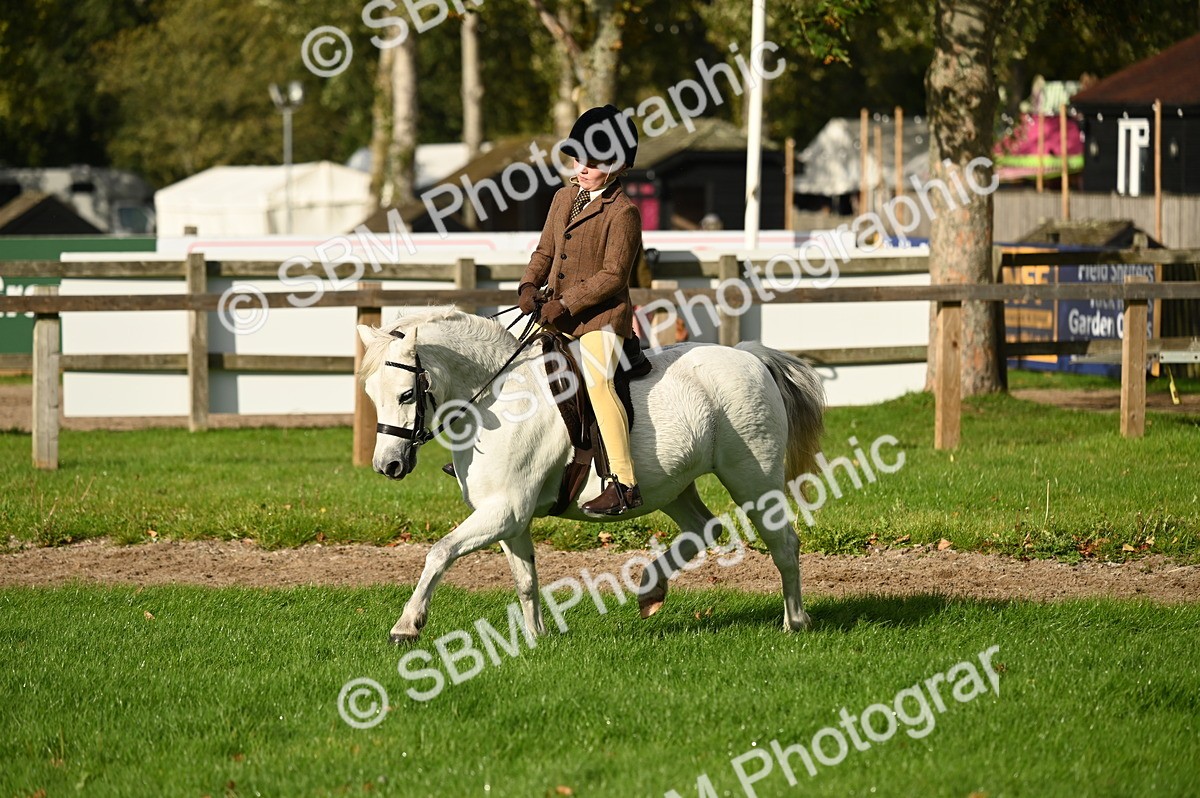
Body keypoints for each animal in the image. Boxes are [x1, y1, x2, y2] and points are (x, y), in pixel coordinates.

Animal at [357, 307, 825, 643]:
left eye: (406, 394)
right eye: (370, 394)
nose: (387, 466)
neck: (499, 397)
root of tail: (749, 356)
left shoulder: (504, 512)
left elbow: (440, 552)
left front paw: (407, 625)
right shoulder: (508, 518)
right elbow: (525, 578)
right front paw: (536, 637)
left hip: (752, 479)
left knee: (783, 543)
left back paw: (796, 622)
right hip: (674, 488)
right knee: (702, 528)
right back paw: (651, 590)